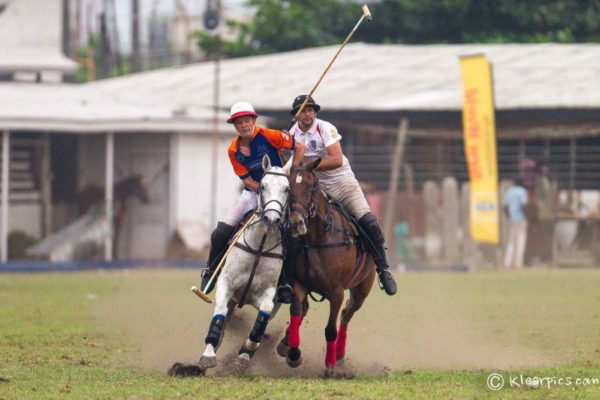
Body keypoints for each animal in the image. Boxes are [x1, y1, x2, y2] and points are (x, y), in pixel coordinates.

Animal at [276, 158, 376, 376]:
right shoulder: (299, 284)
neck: (318, 238)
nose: (296, 222)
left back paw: (338, 355)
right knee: (309, 309)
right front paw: (293, 354)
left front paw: (329, 366)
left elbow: (330, 329)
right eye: (289, 188)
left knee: (347, 313)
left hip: (363, 288)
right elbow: (295, 311)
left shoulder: (336, 291)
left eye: (310, 185)